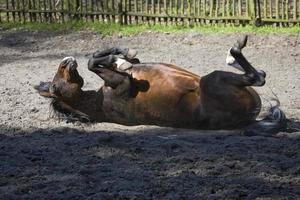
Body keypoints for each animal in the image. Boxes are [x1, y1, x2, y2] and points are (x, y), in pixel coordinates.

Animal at [34, 36, 286, 136]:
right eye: (56, 86)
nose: (66, 61)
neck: (98, 102)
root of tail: (249, 116)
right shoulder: (123, 83)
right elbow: (93, 63)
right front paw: (121, 59)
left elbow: (100, 57)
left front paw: (122, 55)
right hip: (214, 80)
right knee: (258, 77)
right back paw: (233, 52)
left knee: (260, 75)